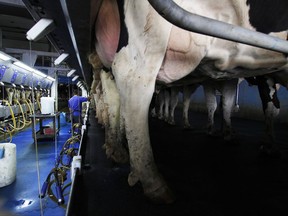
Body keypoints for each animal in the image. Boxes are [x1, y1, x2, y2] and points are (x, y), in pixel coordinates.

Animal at [91, 0, 288, 202]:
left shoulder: (231, 79)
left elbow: (228, 103)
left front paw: (231, 134)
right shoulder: (263, 75)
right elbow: (265, 105)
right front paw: (266, 144)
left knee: (114, 95)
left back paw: (116, 149)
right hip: (148, 30)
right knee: (135, 83)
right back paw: (153, 182)